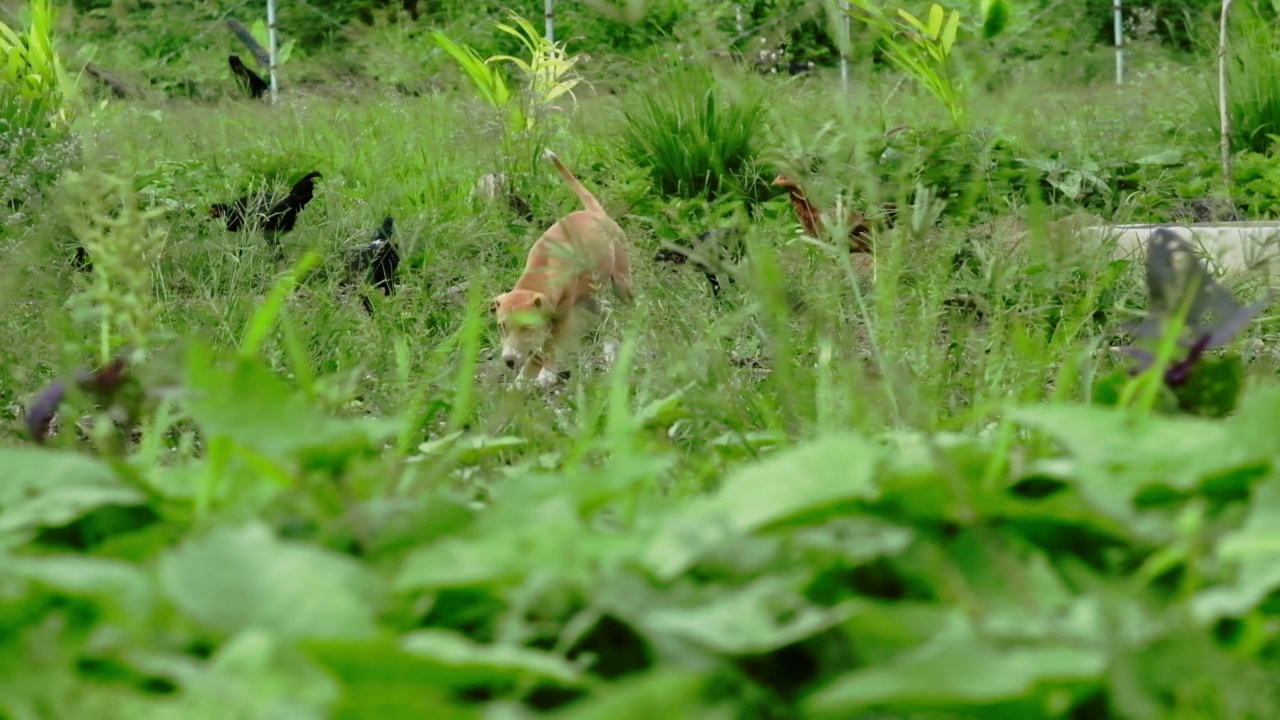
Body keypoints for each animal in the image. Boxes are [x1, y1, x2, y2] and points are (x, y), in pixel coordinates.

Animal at [488, 148, 634, 384]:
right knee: (607, 311)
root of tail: (597, 213)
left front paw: (545, 375)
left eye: (527, 327)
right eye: (501, 326)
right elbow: (537, 352)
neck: (542, 272)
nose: (509, 361)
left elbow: (545, 350)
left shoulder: (560, 320)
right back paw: (611, 351)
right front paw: (519, 383)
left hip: (621, 282)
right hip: (588, 297)